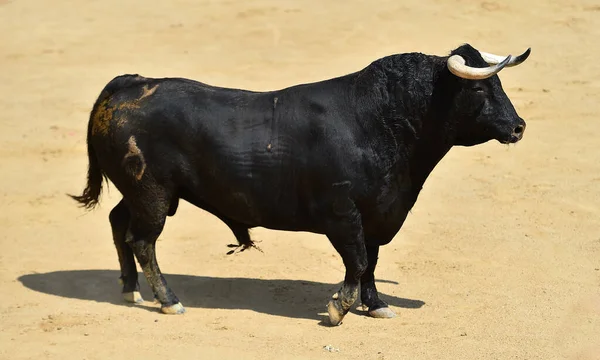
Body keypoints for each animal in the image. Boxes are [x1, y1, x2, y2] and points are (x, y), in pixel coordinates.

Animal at [70, 43, 528, 324]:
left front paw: (376, 305)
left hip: (140, 194)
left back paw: (130, 290)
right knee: (142, 241)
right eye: (481, 89)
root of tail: (126, 86)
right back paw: (169, 301)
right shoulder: (343, 215)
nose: (519, 127)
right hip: (153, 194)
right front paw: (339, 308)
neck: (381, 120)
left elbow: (372, 262)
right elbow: (357, 261)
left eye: (500, 84)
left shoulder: (380, 213)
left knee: (118, 223)